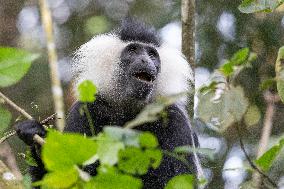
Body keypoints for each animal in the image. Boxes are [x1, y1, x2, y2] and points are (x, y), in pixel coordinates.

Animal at [15, 18, 197, 189]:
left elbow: (173, 178)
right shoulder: (86, 110)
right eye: (133, 51)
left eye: (152, 54)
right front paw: (36, 134)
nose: (146, 60)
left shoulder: (174, 119)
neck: (129, 111)